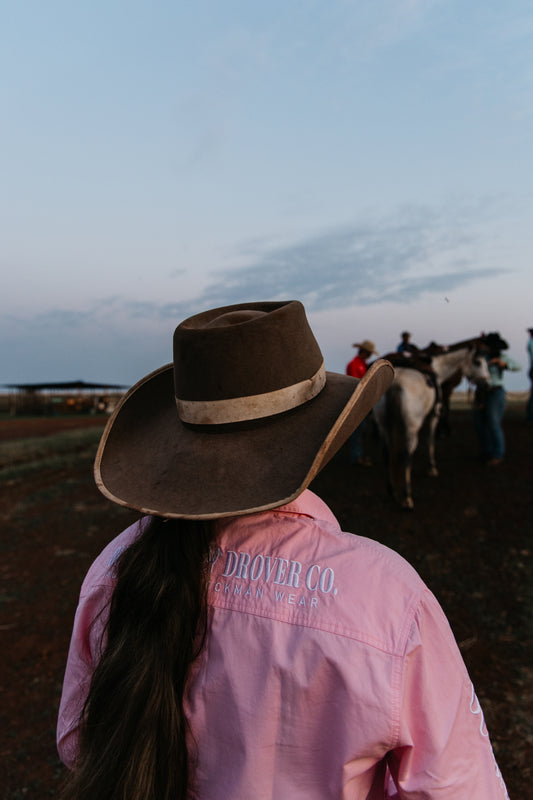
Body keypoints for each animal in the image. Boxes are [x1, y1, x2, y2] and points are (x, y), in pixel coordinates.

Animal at [372, 340, 488, 510]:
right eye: (478, 362)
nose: (487, 383)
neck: (438, 368)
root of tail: (395, 384)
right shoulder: (434, 415)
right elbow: (430, 441)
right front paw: (432, 467)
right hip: (412, 428)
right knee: (407, 455)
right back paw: (407, 497)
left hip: (383, 426)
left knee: (387, 453)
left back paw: (392, 491)